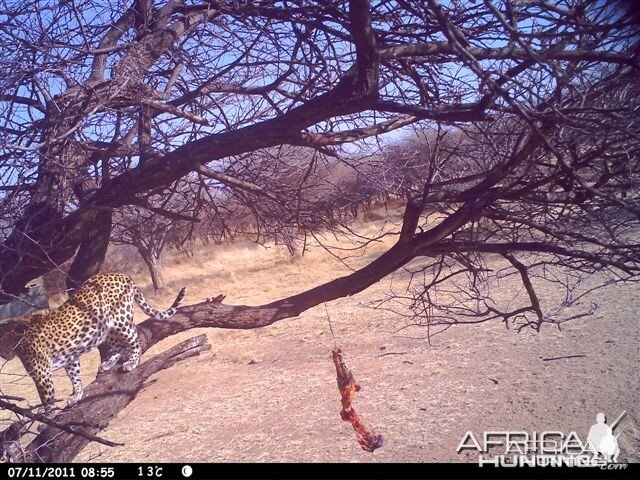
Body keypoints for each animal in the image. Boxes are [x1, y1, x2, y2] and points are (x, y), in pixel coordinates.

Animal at [0, 272, 185, 414]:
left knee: (135, 338)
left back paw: (131, 362)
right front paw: (77, 395)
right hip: (105, 328)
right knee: (117, 346)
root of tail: (122, 274)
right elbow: (74, 376)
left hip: (120, 320)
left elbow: (47, 397)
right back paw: (107, 364)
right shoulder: (70, 358)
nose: (4, 356)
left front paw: (46, 415)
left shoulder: (41, 374)